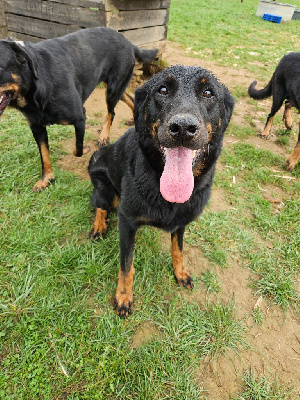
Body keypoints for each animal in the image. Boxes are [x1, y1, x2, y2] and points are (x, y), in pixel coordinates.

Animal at [0, 27, 158, 191]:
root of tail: (128, 42)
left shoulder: (80, 117)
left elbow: (78, 149)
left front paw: (87, 149)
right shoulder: (37, 127)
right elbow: (44, 155)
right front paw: (47, 179)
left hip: (112, 89)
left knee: (112, 112)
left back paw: (104, 136)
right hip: (114, 87)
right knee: (130, 99)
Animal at [89, 64, 234, 318]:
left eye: (208, 93)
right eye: (163, 90)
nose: (183, 128)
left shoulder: (182, 221)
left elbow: (178, 249)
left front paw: (180, 272)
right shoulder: (127, 221)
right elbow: (126, 264)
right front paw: (123, 296)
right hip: (105, 189)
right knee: (99, 204)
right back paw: (99, 225)